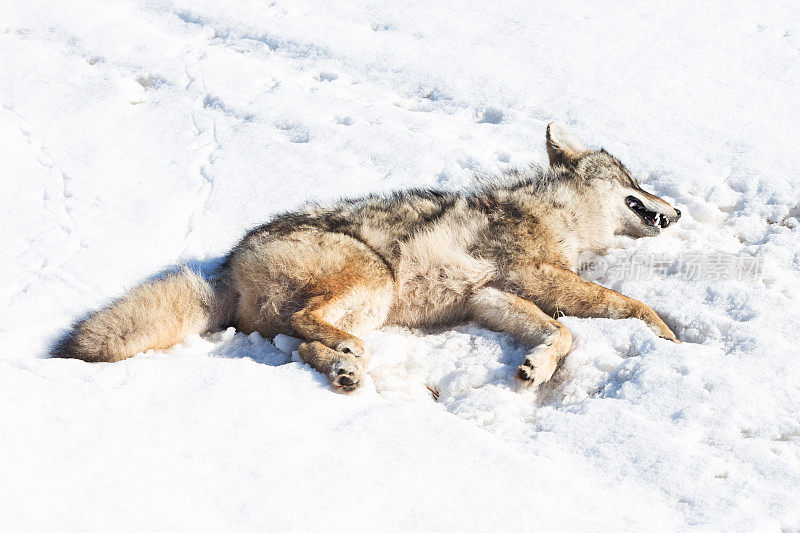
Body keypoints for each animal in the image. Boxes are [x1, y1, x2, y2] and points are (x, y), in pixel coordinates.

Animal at [54, 123, 680, 390]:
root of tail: (226, 272)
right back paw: (351, 358)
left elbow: (561, 333)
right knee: (309, 323)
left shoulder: (491, 295)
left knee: (303, 343)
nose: (676, 209)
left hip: (364, 306)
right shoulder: (538, 274)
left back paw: (345, 370)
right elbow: (627, 305)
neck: (560, 214)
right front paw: (671, 337)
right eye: (637, 183)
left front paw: (535, 367)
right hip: (374, 280)